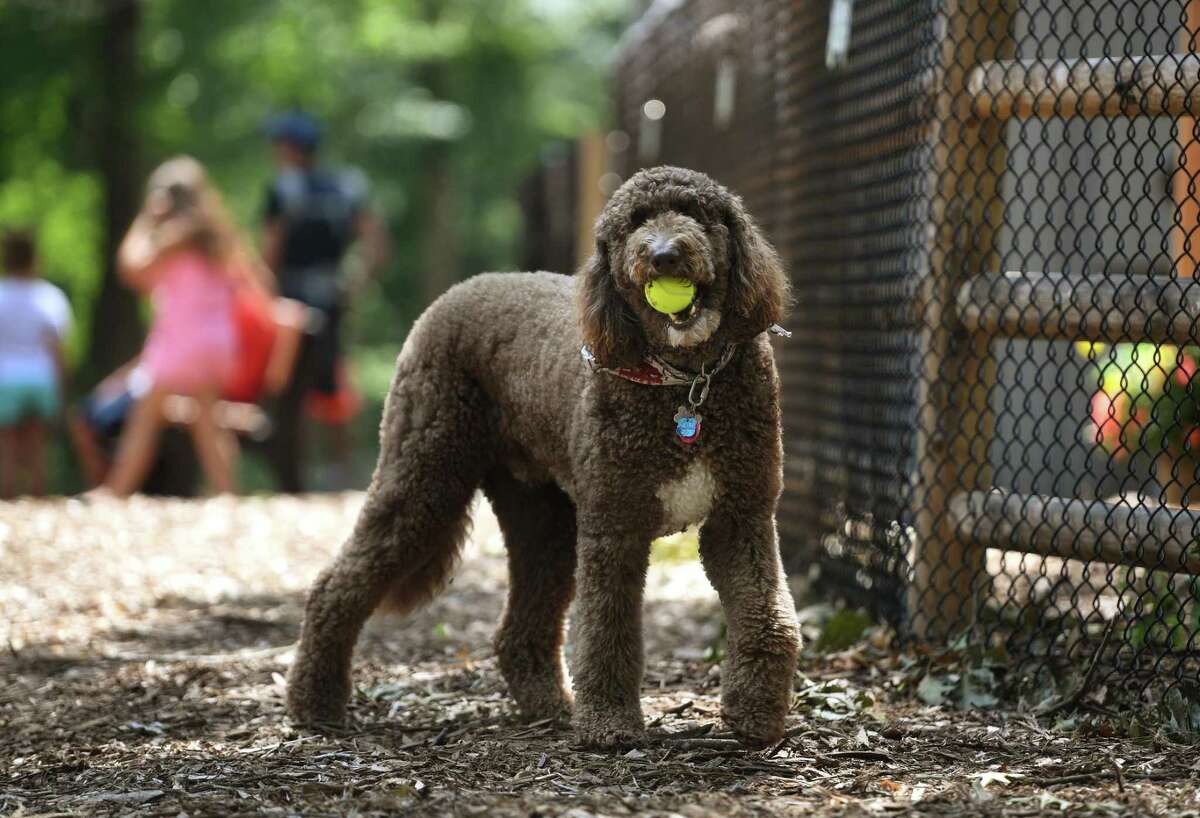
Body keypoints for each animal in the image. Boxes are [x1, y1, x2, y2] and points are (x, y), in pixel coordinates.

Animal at [285, 164, 801, 743]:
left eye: (696, 213)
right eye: (633, 224)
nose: (664, 254)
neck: (686, 383)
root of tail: (458, 291)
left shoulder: (740, 517)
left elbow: (767, 614)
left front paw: (755, 713)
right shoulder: (614, 529)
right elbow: (605, 632)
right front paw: (609, 723)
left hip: (542, 519)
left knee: (518, 627)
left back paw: (548, 706)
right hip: (424, 475)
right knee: (336, 585)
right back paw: (314, 704)